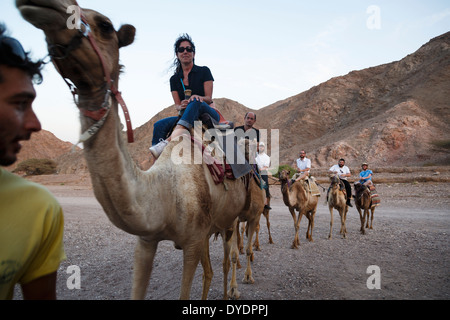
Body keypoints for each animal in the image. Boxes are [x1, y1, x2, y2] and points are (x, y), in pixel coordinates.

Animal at [17, 0, 253, 300]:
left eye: (105, 25)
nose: (43, 6)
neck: (164, 191)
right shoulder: (147, 240)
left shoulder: (191, 241)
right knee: (212, 268)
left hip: (231, 218)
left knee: (227, 258)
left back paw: (231, 291)